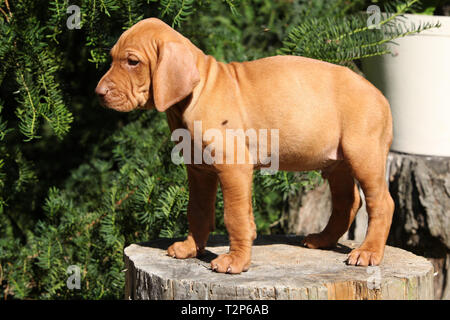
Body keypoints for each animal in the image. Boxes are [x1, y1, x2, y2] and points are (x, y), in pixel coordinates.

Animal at [96, 18, 394, 272]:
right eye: (112, 58)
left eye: (132, 61)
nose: (99, 93)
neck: (195, 95)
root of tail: (380, 95)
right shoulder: (199, 170)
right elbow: (198, 210)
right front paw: (192, 248)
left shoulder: (233, 168)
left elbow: (234, 216)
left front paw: (235, 261)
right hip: (337, 162)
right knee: (348, 201)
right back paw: (323, 240)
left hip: (363, 154)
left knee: (381, 202)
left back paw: (369, 251)